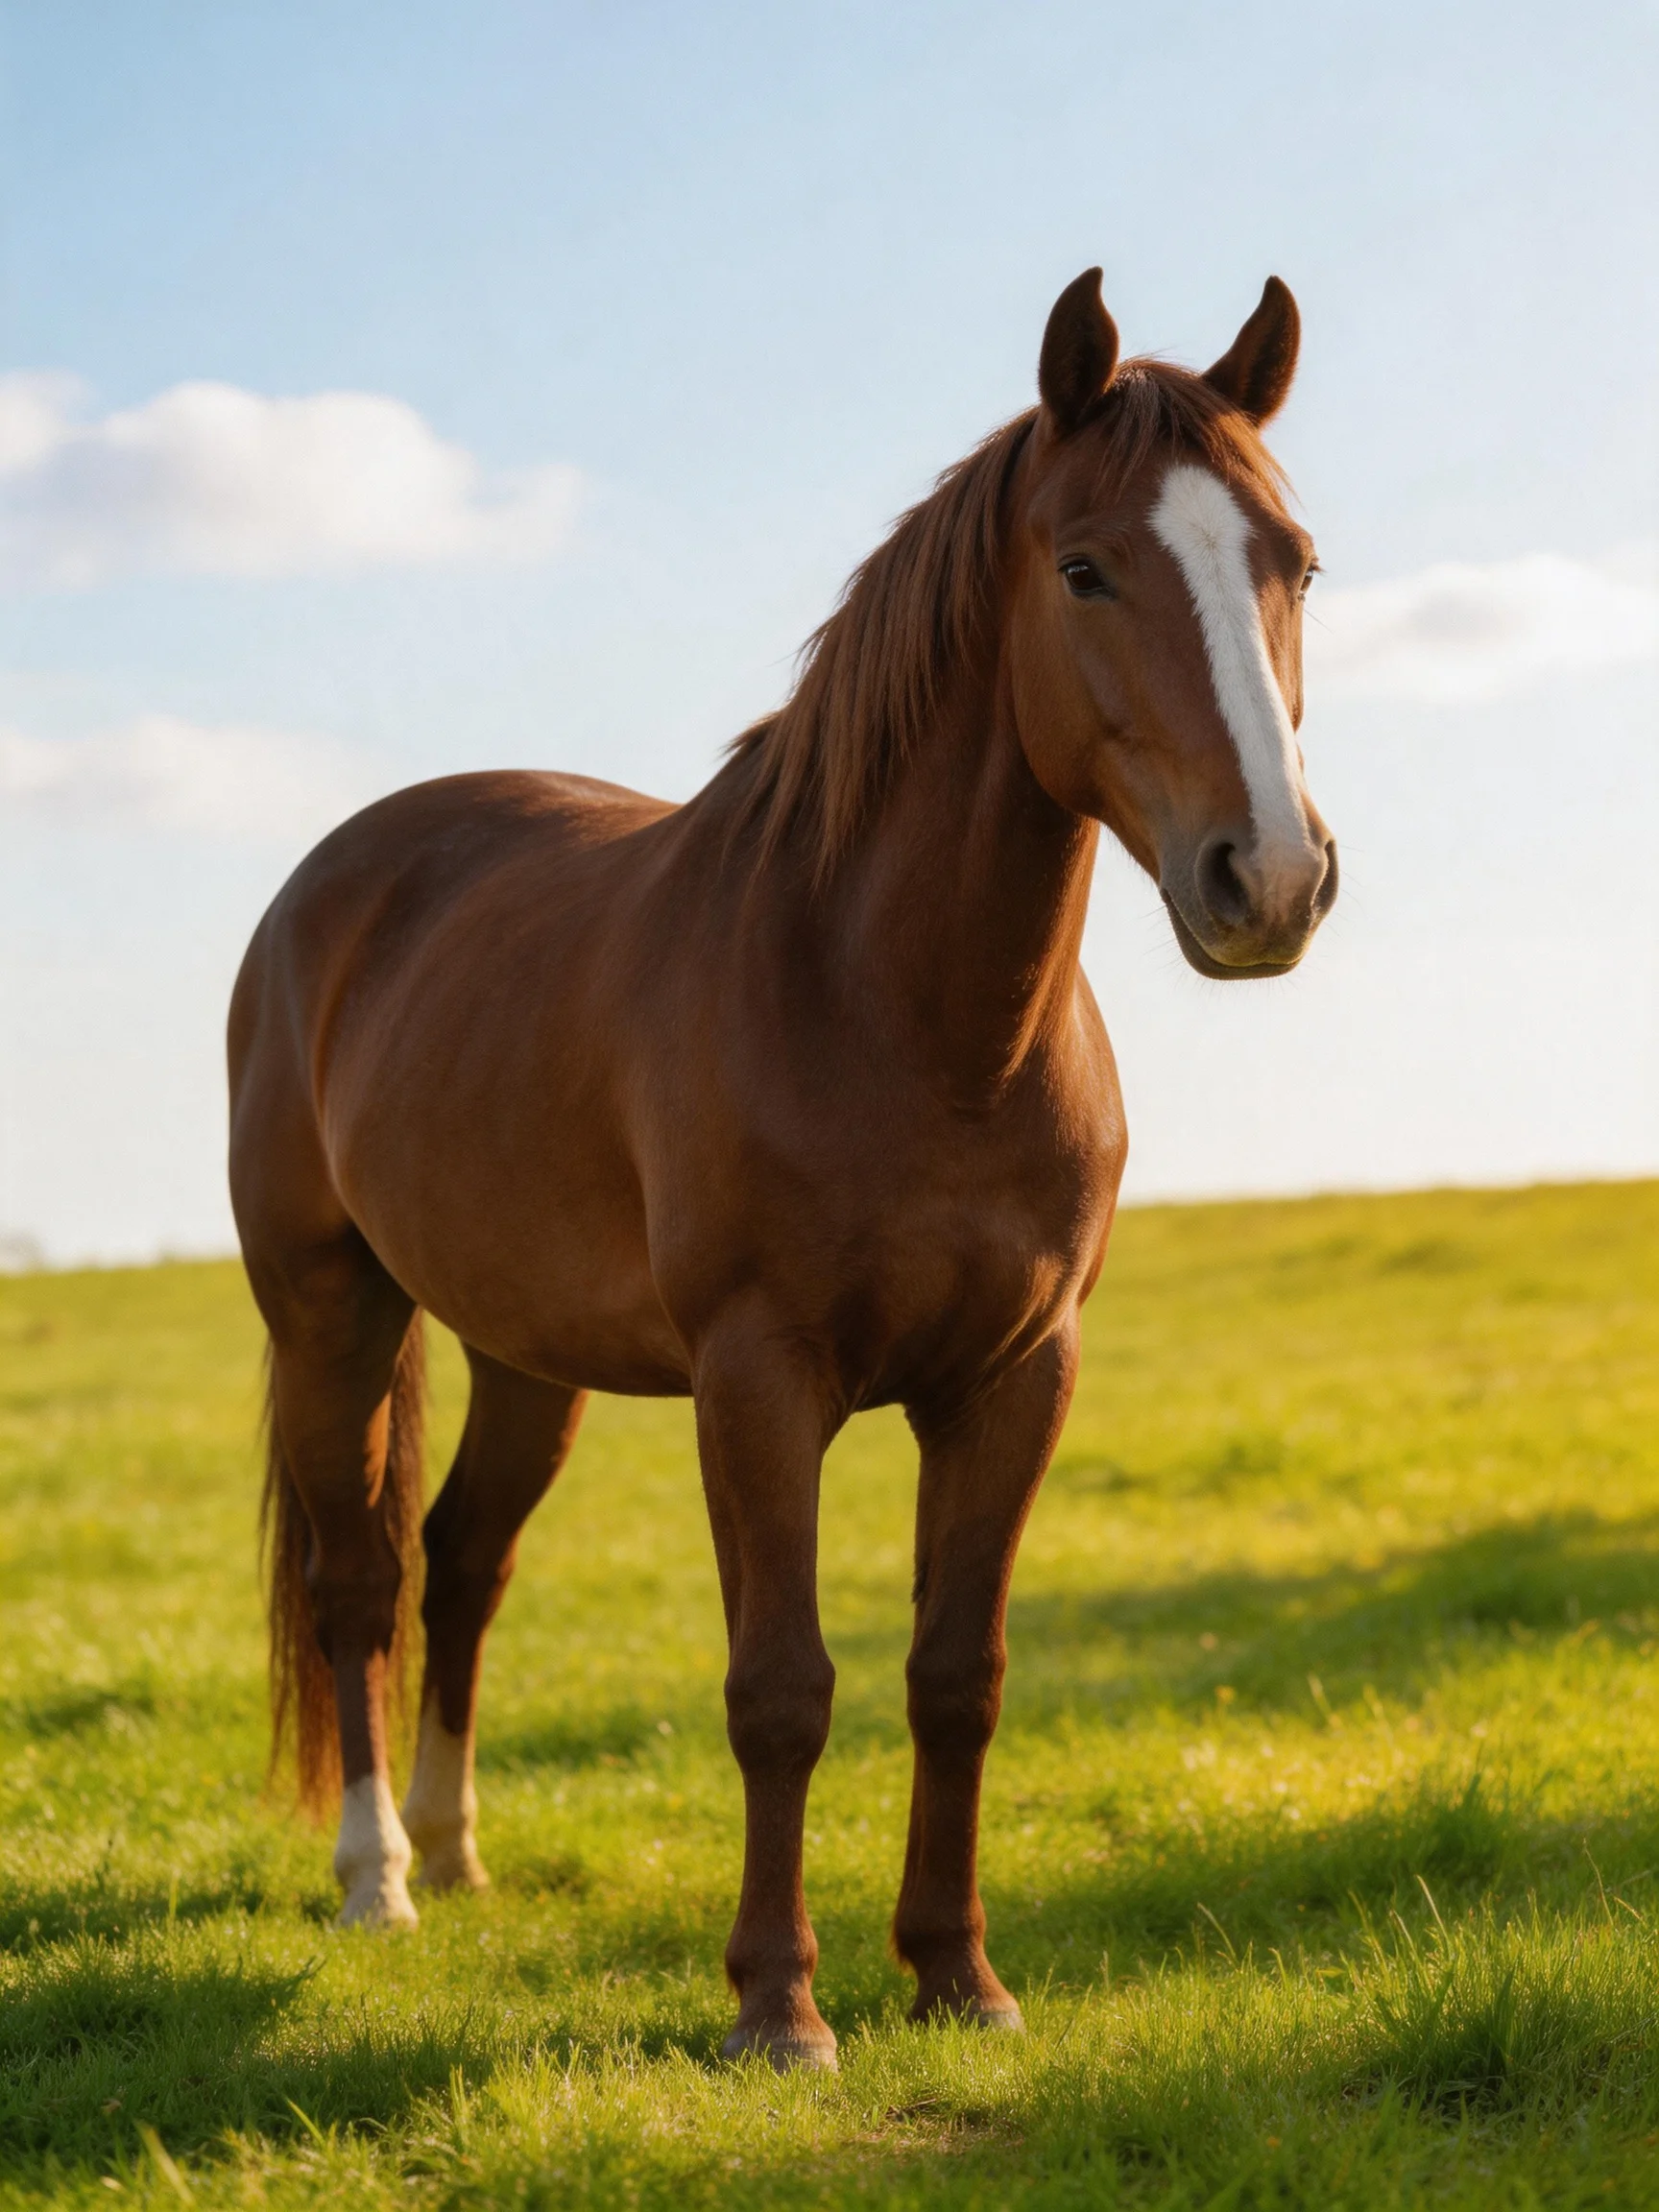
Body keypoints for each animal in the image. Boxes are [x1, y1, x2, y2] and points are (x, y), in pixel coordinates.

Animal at [228, 266, 1336, 2070]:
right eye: (1084, 566)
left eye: (1290, 560)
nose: (1273, 877)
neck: (898, 1010)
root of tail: (334, 882)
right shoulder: (761, 1381)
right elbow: (780, 1687)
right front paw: (777, 2005)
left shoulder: (1015, 1377)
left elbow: (956, 1672)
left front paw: (957, 1976)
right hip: (332, 1315)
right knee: (360, 1582)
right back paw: (376, 1875)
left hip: (525, 1355)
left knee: (465, 1561)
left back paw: (459, 1854)